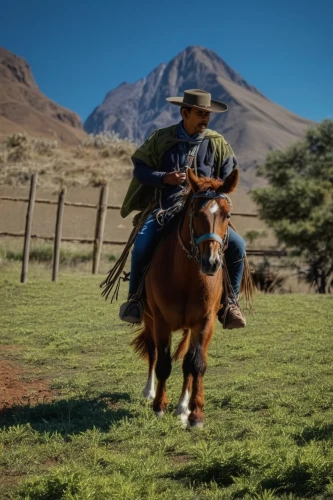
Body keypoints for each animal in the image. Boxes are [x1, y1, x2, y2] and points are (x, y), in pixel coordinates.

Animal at [132, 167, 239, 426]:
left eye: (228, 215)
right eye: (196, 213)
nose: (211, 262)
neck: (186, 277)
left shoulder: (205, 321)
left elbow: (195, 363)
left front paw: (195, 413)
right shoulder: (160, 320)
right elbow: (163, 362)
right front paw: (159, 406)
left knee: (187, 363)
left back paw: (182, 407)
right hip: (149, 318)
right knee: (152, 351)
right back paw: (149, 392)